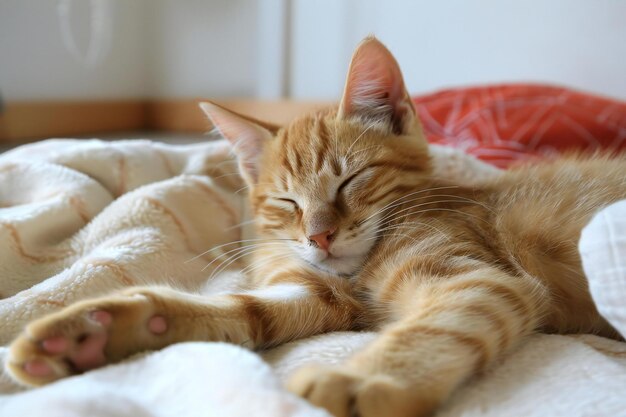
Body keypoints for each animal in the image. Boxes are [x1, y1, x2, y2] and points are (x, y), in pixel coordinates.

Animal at [6, 36, 624, 416]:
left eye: (350, 183)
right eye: (287, 203)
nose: (319, 237)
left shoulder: (479, 278)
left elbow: (436, 326)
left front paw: (363, 381)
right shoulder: (322, 297)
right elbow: (243, 311)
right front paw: (95, 331)